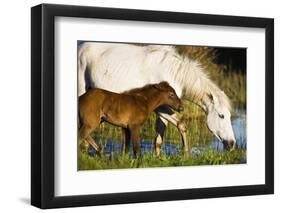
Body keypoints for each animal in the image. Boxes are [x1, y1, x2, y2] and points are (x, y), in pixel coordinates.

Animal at [77, 42, 235, 155]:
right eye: (221, 116)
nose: (232, 144)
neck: (172, 73)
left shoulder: (164, 108)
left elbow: (159, 137)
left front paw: (158, 158)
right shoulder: (160, 107)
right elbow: (181, 124)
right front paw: (186, 156)